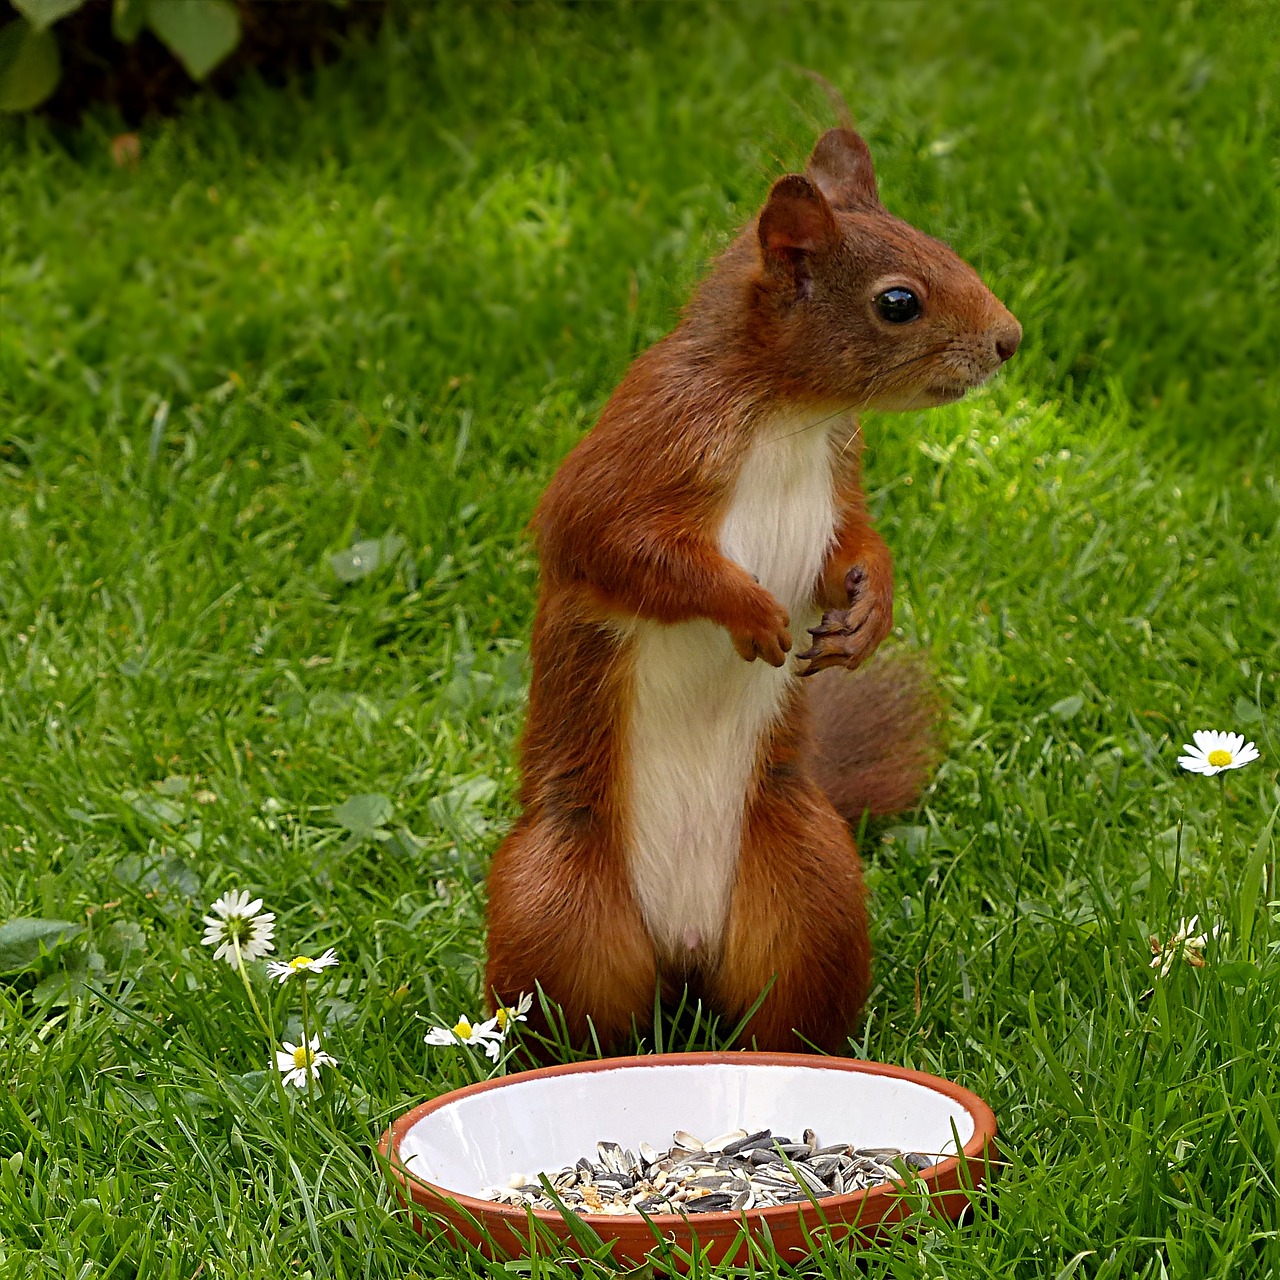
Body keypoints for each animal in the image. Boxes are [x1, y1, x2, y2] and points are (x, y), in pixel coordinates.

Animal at [483, 124, 1024, 1054]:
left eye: (944, 247)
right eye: (898, 302)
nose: (1009, 339)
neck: (788, 417)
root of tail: (684, 947)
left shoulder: (838, 485)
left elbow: (855, 546)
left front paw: (869, 612)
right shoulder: (638, 452)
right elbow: (619, 548)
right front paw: (750, 609)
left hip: (810, 883)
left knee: (786, 1010)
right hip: (555, 903)